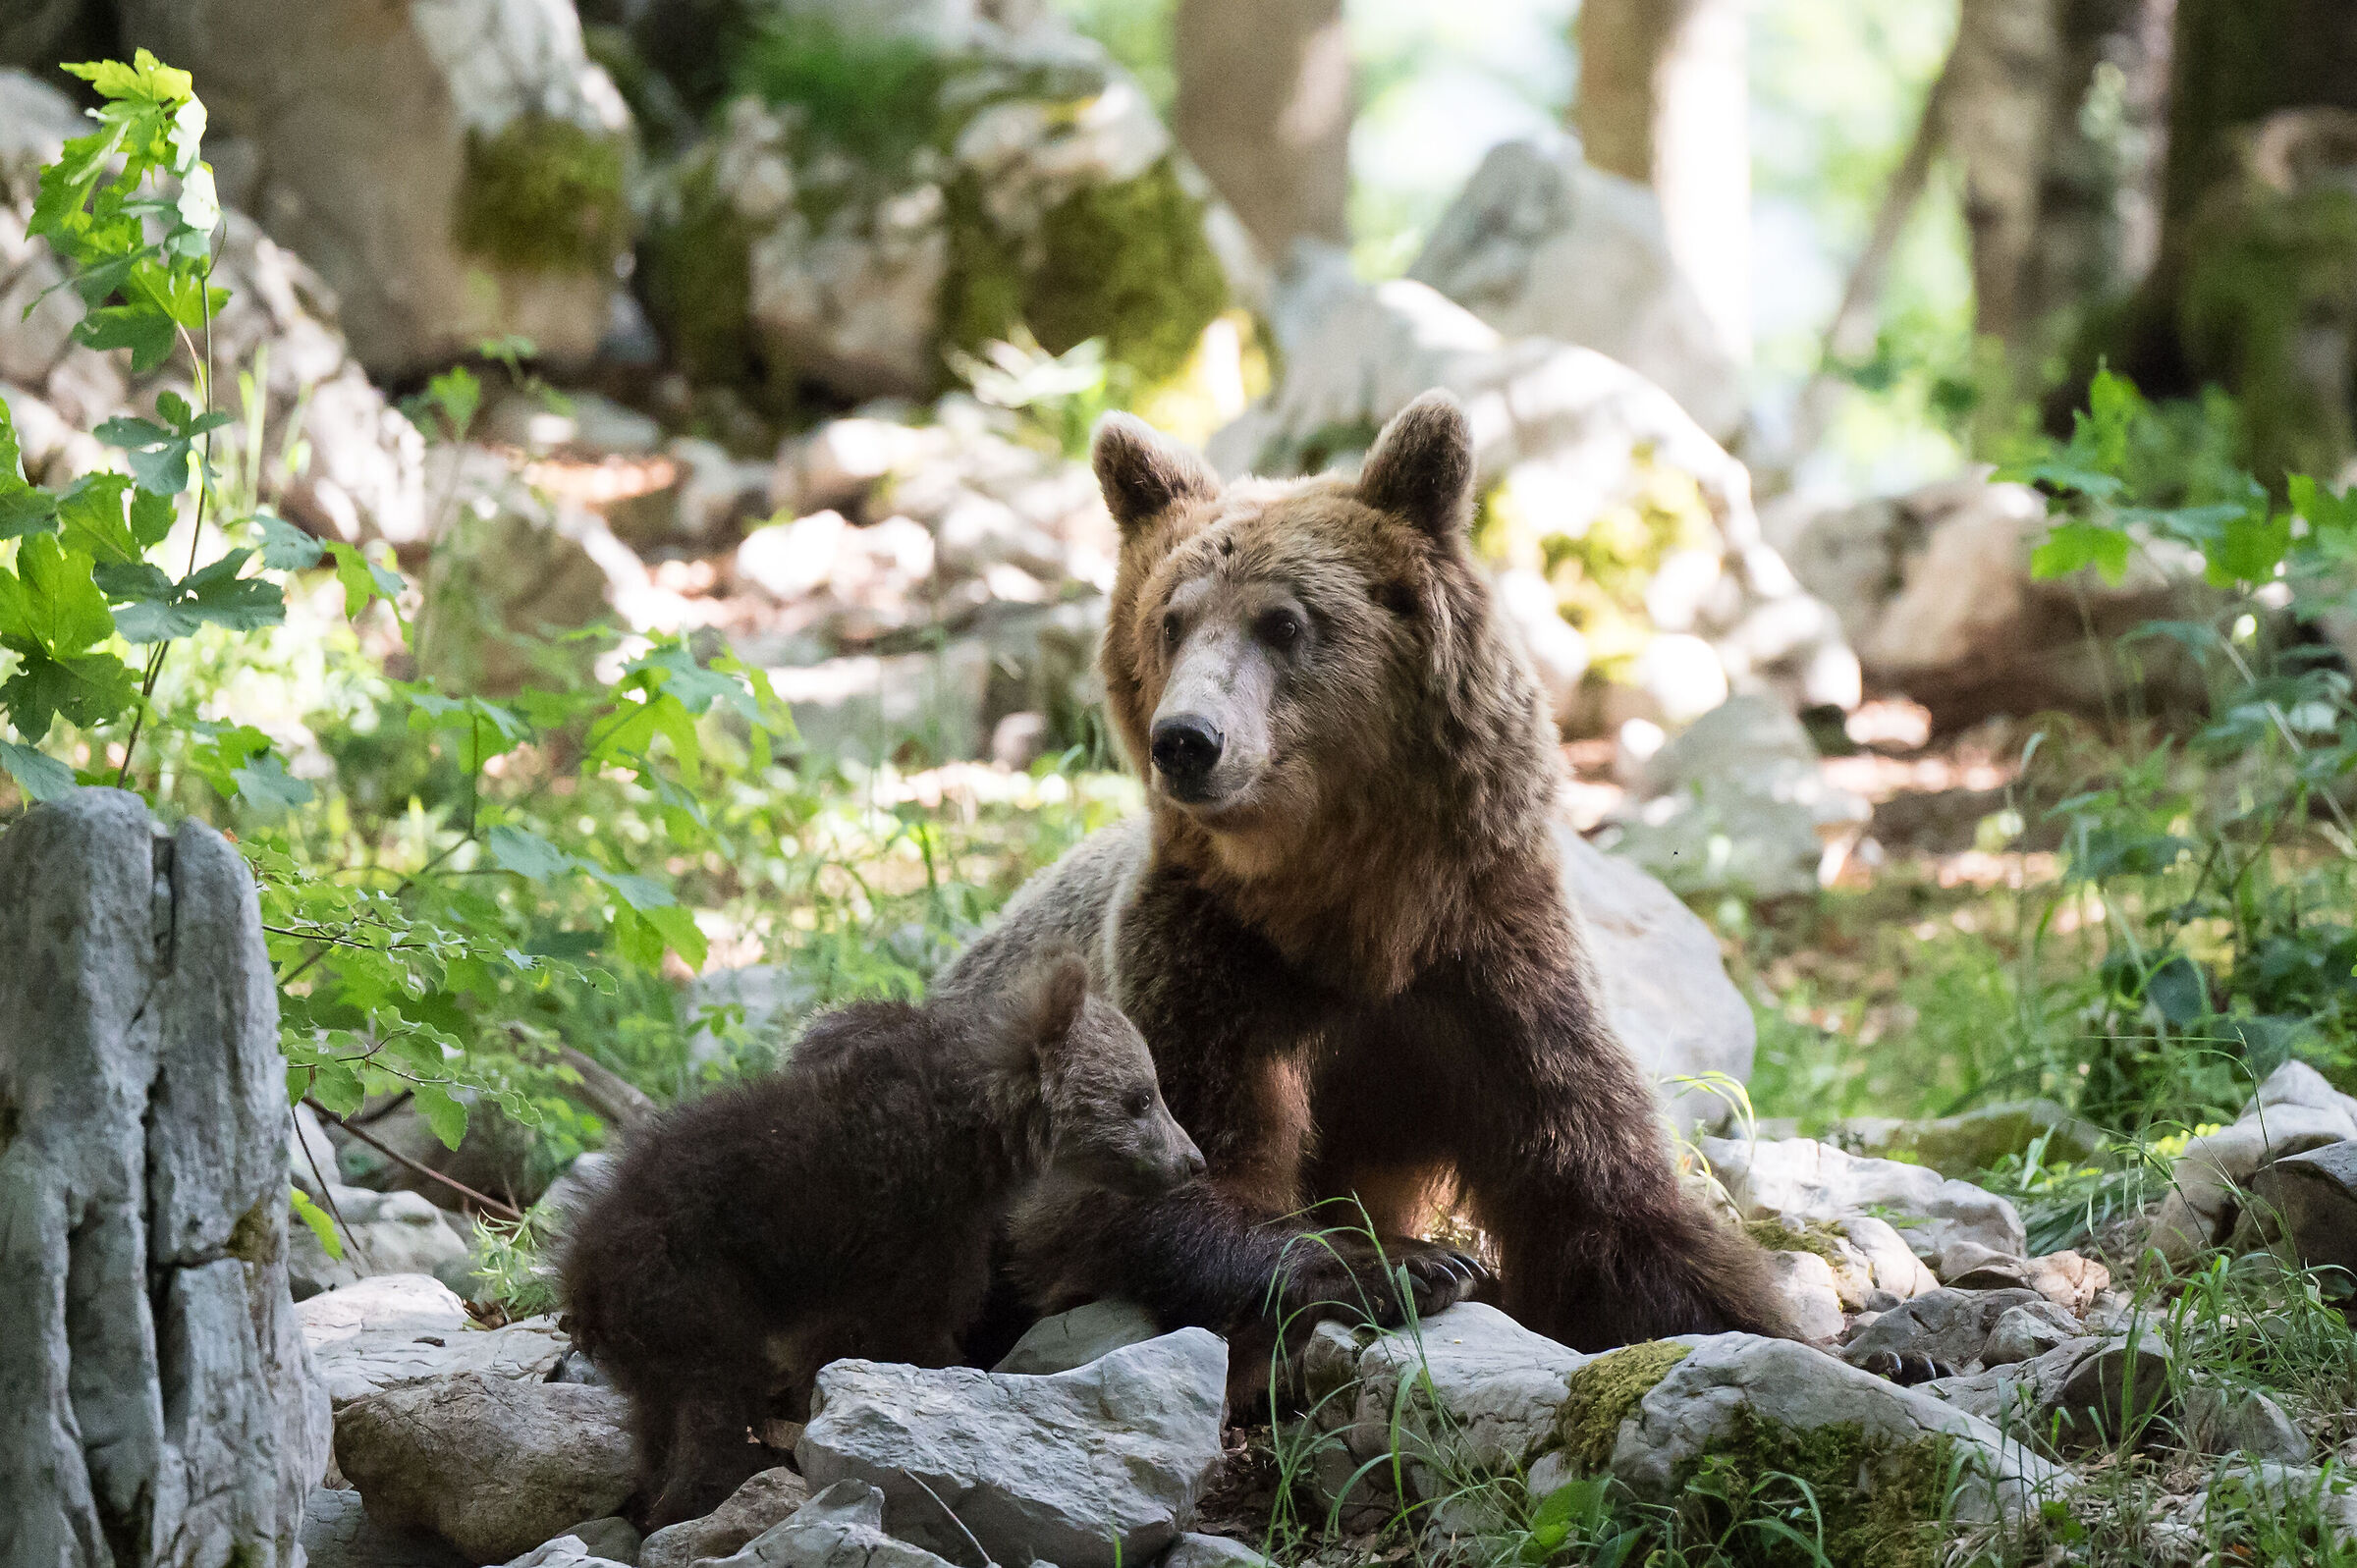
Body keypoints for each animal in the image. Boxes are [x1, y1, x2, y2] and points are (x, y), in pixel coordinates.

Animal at [559, 950, 1205, 1526]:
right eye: (1141, 1097)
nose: (1193, 1160)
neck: (978, 1137)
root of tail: (580, 1275)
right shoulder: (911, 1232)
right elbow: (907, 1332)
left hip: (654, 1344)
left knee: (655, 1423)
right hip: (696, 1297)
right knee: (710, 1408)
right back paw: (701, 1495)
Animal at [936, 390, 1791, 1362]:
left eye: (1283, 622)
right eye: (1171, 619)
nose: (1186, 739)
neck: (1356, 912)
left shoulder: (1491, 965)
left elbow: (1606, 1211)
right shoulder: (1205, 960)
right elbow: (1162, 1175)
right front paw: (1410, 1261)